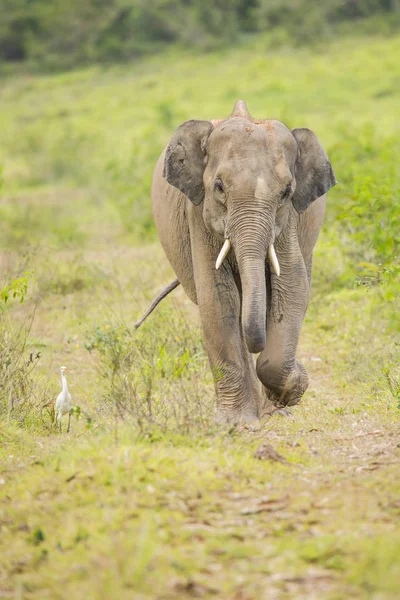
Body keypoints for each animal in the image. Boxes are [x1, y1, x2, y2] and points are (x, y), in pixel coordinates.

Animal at [145, 101, 336, 424]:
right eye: (219, 187)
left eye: (286, 192)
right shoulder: (198, 214)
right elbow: (218, 298)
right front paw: (236, 425)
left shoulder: (288, 221)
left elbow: (292, 288)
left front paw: (292, 392)